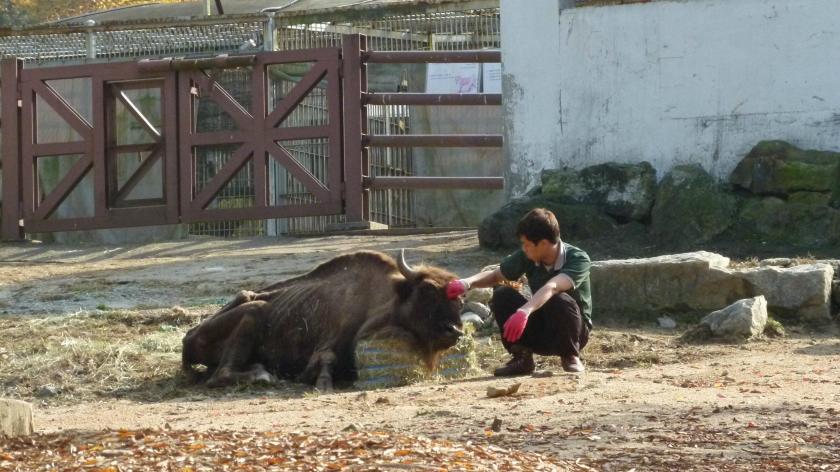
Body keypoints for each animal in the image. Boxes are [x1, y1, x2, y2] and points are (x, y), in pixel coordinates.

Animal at [181, 249, 465, 391]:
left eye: (460, 301)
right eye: (427, 291)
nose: (455, 330)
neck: (387, 296)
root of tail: (187, 338)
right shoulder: (330, 340)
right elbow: (327, 358)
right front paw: (320, 382)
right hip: (253, 311)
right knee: (220, 374)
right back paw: (264, 375)